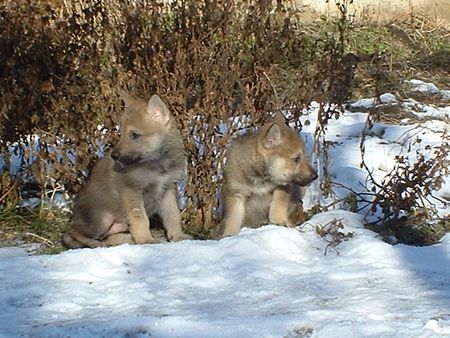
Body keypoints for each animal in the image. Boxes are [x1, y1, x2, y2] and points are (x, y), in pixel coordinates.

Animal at [63, 92, 190, 248]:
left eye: (134, 135)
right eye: (121, 132)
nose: (114, 155)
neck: (157, 163)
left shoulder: (168, 188)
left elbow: (173, 216)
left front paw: (178, 237)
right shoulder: (131, 189)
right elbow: (141, 219)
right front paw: (146, 240)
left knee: (109, 237)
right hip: (101, 219)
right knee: (71, 232)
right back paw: (94, 243)